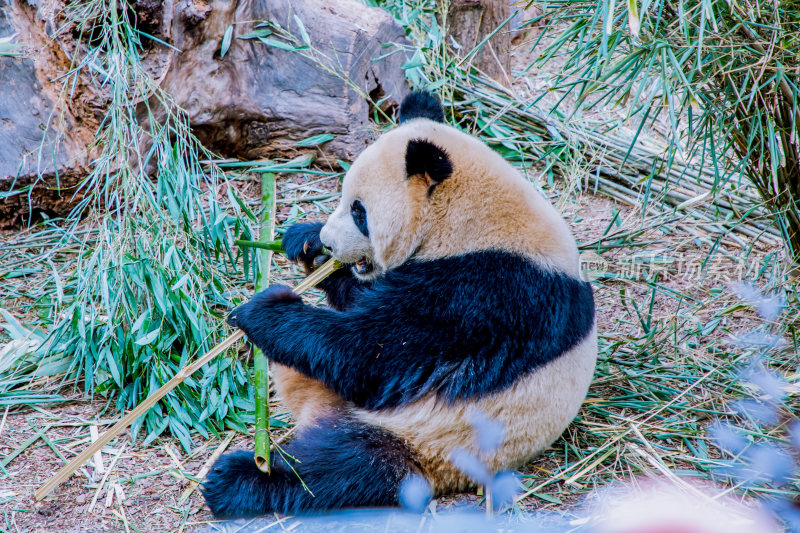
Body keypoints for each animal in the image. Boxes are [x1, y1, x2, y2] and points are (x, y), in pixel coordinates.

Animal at [203, 90, 596, 516]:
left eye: (359, 211)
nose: (328, 242)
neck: (476, 219)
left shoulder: (485, 294)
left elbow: (372, 355)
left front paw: (265, 310)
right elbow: (363, 303)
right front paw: (306, 244)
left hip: (430, 438)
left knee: (341, 467)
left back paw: (240, 478)